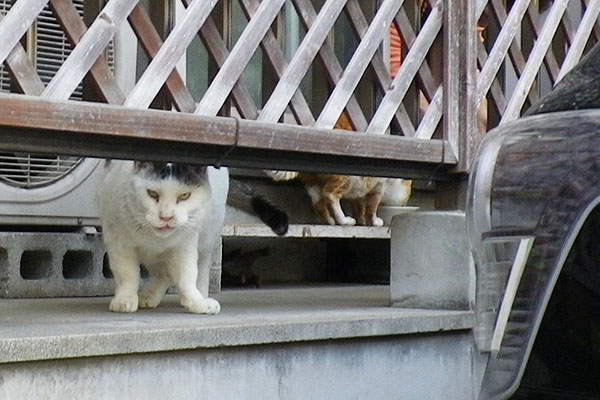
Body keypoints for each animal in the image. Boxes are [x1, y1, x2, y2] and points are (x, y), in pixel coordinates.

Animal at [96, 161, 288, 314]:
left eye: (184, 196)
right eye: (152, 194)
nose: (166, 217)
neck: (155, 237)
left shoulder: (185, 244)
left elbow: (187, 274)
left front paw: (197, 302)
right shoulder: (118, 243)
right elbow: (127, 274)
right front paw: (125, 299)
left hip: (207, 238)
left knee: (198, 271)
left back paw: (198, 295)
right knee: (162, 274)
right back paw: (148, 297)